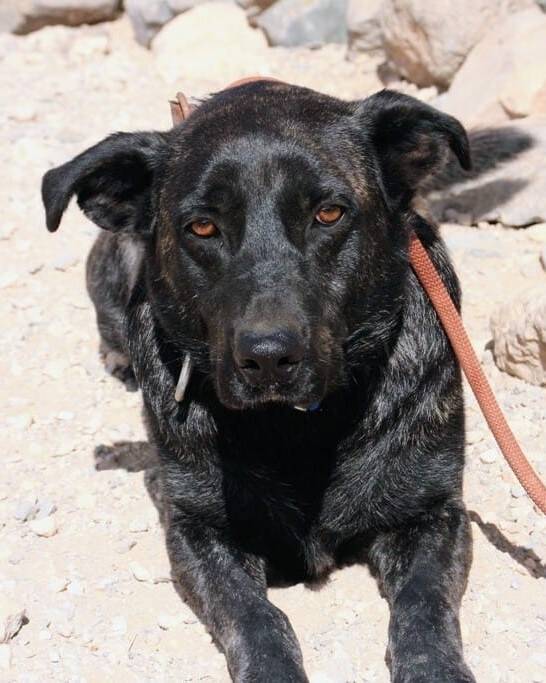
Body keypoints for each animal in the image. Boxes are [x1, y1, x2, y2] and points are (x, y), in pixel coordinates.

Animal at [42, 81, 476, 682]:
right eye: (202, 226)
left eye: (329, 213)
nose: (269, 357)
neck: (297, 429)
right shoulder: (198, 531)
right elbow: (256, 616)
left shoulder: (433, 513)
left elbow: (424, 602)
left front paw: (434, 668)